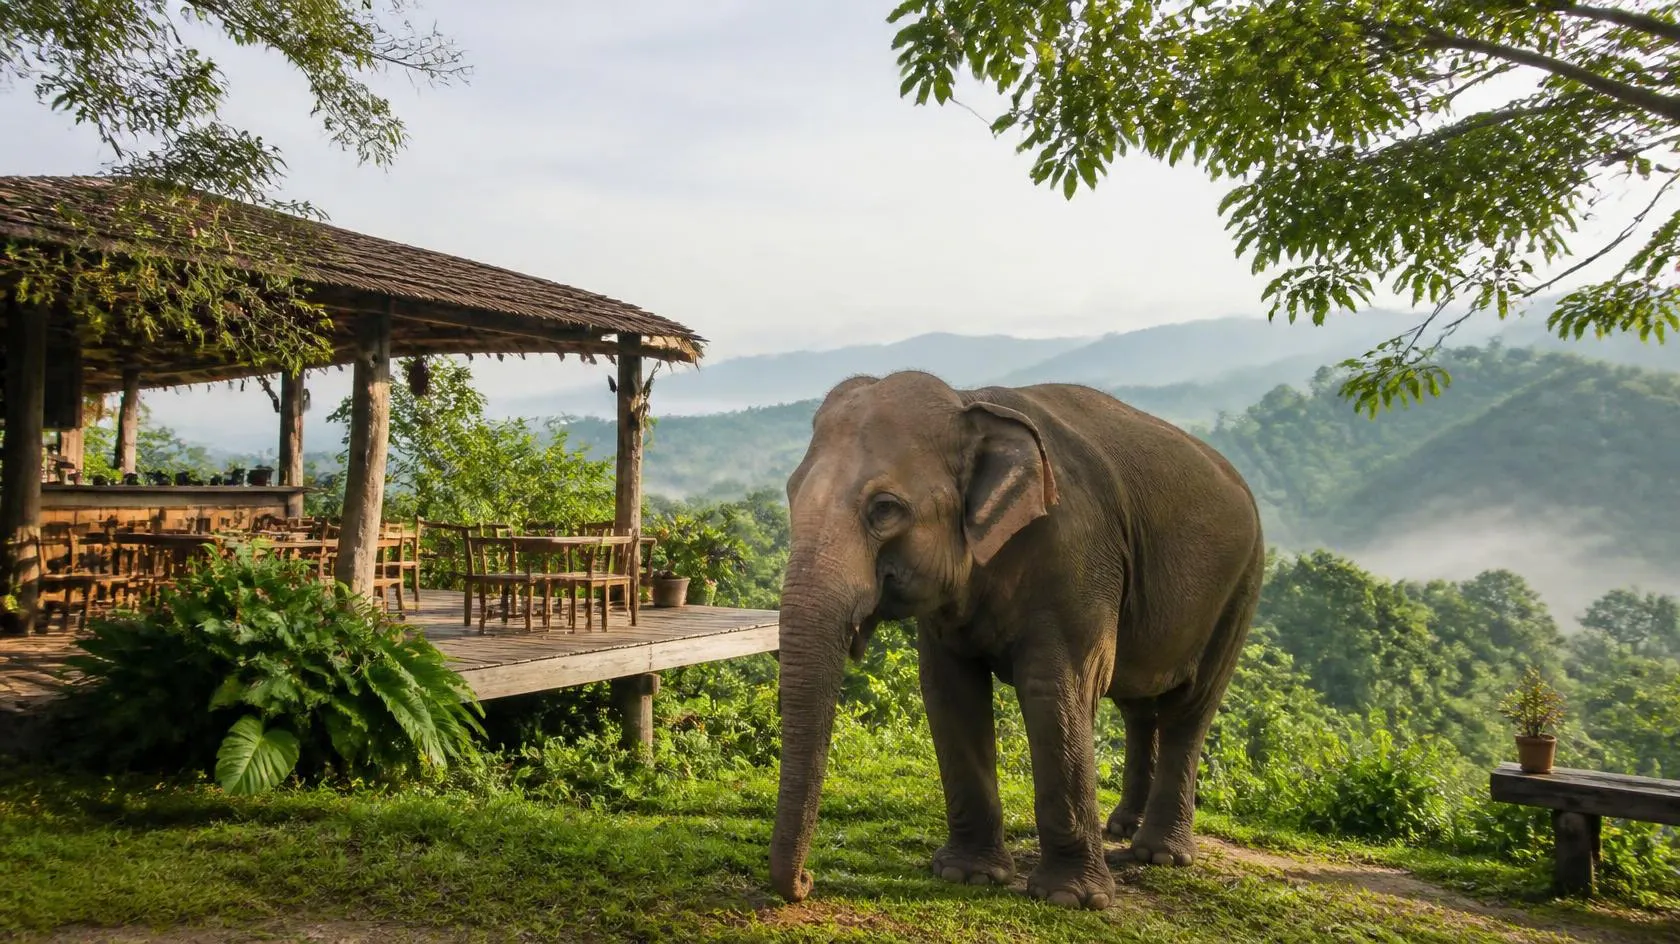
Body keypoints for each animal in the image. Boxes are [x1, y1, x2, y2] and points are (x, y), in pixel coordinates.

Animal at [768, 370, 1265, 910]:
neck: (969, 401)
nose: (806, 883)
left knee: (1190, 706)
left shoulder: (1078, 559)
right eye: (790, 492)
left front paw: (1070, 899)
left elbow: (1055, 689)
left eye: (884, 509)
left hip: (1240, 586)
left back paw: (1160, 854)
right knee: (1137, 704)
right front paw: (966, 875)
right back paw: (1122, 828)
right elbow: (949, 690)